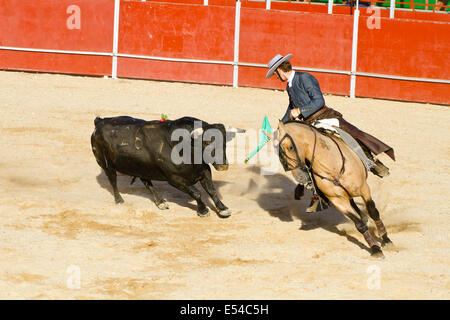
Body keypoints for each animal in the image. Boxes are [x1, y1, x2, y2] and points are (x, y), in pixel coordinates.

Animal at [90, 115, 234, 218]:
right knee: (113, 181)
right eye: (207, 142)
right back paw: (119, 200)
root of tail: (100, 122)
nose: (223, 166)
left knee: (147, 182)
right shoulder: (175, 179)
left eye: (225, 142)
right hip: (105, 164)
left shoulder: (204, 171)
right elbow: (196, 193)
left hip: (142, 167)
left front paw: (223, 209)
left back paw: (161, 202)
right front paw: (203, 211)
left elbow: (212, 191)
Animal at [278, 119, 394, 258]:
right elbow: (359, 224)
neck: (331, 166)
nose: (300, 178)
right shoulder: (337, 200)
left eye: (290, 147)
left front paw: (386, 240)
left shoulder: (364, 189)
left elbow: (373, 211)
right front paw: (375, 248)